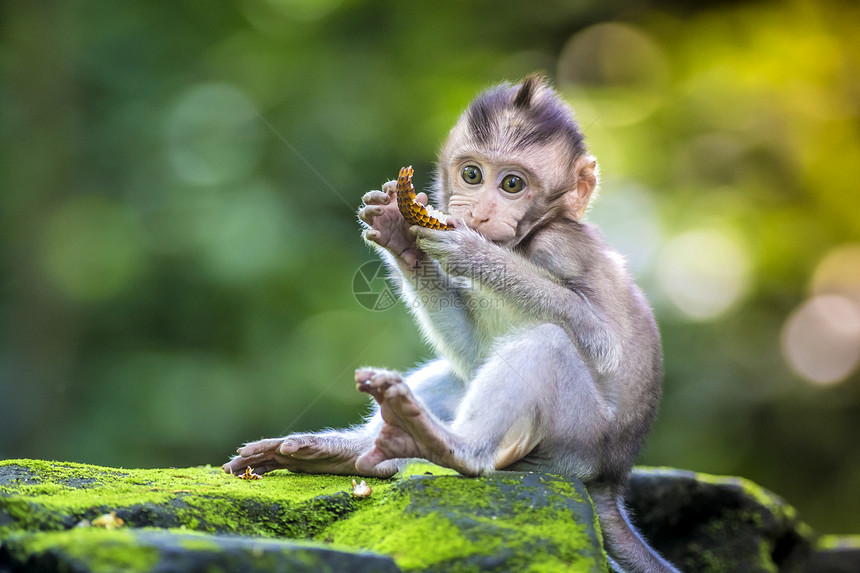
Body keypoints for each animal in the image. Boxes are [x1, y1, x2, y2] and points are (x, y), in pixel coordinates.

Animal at [225, 75, 680, 572]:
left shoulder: (560, 247)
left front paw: (471, 252)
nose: (477, 214)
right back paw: (351, 453)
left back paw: (452, 447)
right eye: (472, 175)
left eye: (513, 184)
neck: (525, 241)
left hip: (576, 440)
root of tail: (610, 480)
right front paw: (400, 235)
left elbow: (603, 341)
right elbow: (473, 352)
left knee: (547, 345)